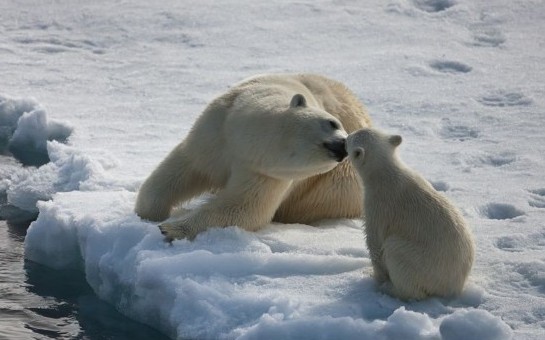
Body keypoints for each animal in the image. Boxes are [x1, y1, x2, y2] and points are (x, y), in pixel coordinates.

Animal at [137, 74, 370, 239]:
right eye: (332, 123)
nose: (343, 146)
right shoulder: (216, 131)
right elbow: (185, 167)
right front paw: (147, 215)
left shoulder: (265, 174)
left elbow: (243, 208)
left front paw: (171, 228)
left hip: (337, 188)